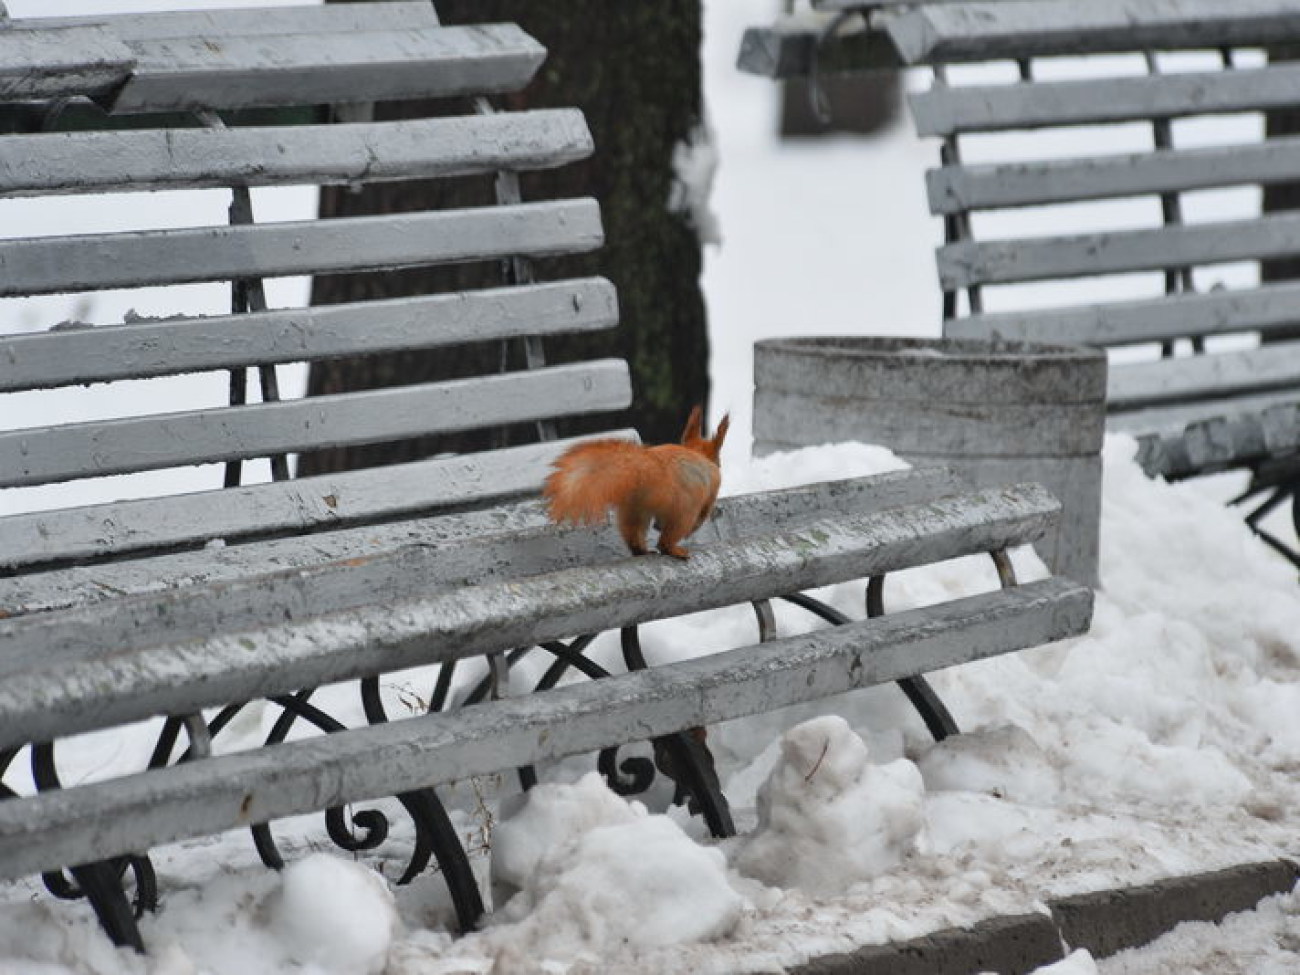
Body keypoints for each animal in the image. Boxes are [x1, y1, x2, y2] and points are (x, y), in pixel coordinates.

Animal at [540, 405, 733, 556]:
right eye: (718, 460)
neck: (697, 452)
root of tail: (652, 473)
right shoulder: (710, 491)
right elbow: (704, 513)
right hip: (684, 509)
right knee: (668, 539)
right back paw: (674, 550)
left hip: (633, 509)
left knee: (634, 533)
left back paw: (642, 550)